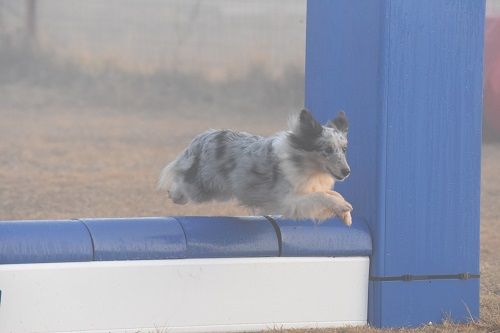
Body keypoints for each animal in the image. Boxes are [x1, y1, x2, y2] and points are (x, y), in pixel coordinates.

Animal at [158, 110, 354, 224]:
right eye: (327, 150)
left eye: (344, 149)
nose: (347, 172)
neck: (306, 165)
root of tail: (204, 136)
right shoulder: (288, 201)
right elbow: (321, 196)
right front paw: (342, 206)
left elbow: (332, 193)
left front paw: (344, 213)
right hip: (203, 186)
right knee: (182, 183)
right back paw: (174, 194)